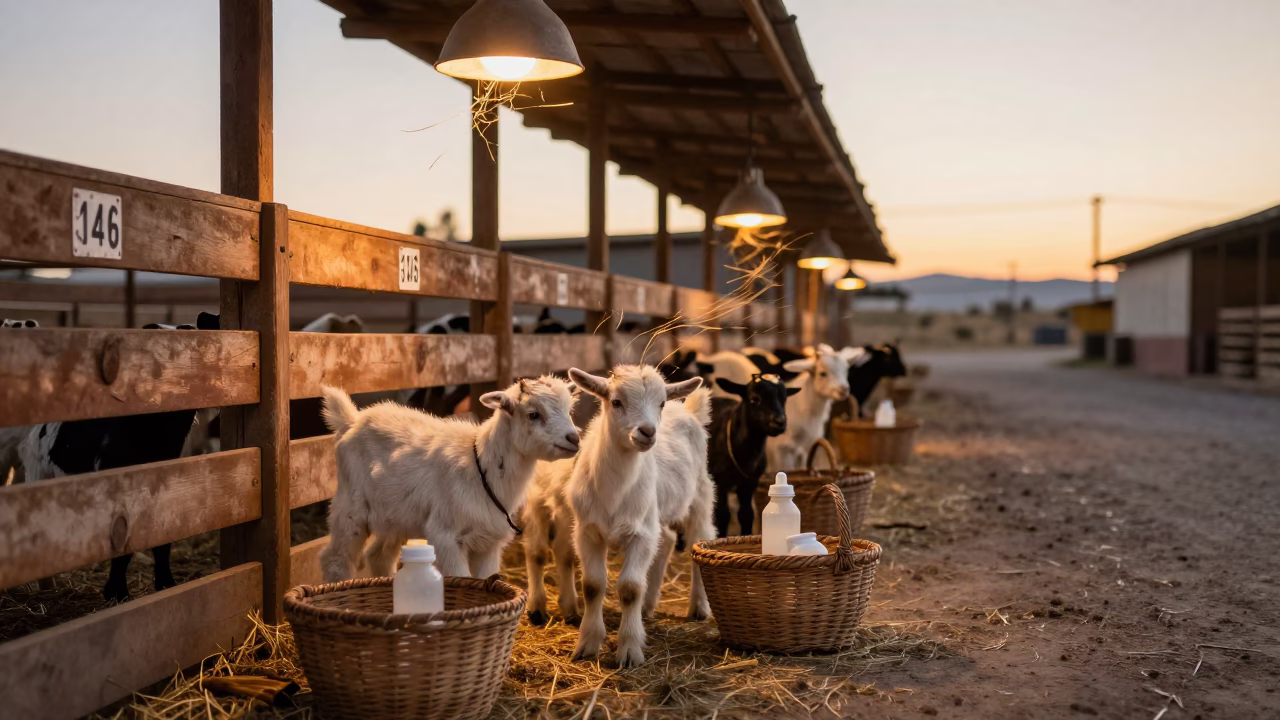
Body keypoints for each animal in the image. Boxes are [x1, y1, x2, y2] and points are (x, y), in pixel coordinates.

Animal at [319, 376, 581, 581]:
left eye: (569, 410)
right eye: (533, 414)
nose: (574, 439)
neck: (481, 465)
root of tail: (352, 420)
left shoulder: (488, 542)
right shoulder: (445, 536)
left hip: (395, 516)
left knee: (378, 555)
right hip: (350, 506)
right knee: (334, 559)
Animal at [526, 365, 711, 668]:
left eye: (660, 403)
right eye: (616, 402)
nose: (647, 432)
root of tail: (688, 410)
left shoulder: (640, 536)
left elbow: (630, 588)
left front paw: (630, 649)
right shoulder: (587, 532)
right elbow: (592, 585)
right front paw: (587, 644)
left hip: (700, 497)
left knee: (699, 542)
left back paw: (698, 607)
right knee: (668, 539)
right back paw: (648, 606)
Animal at [707, 375, 800, 537]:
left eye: (784, 398)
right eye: (755, 399)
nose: (779, 422)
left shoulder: (750, 482)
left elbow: (746, 514)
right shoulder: (719, 481)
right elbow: (722, 515)